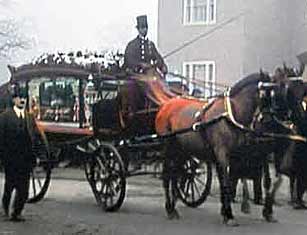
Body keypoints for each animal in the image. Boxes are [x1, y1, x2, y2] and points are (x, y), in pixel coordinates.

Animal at [155, 71, 307, 226]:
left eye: (301, 91)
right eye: (281, 92)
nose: (300, 119)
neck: (232, 115)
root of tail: (166, 105)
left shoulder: (245, 154)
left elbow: (268, 180)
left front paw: (233, 210)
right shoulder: (225, 154)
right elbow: (228, 181)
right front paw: (229, 214)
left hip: (182, 150)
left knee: (177, 174)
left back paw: (175, 203)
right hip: (168, 148)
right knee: (167, 175)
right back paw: (170, 209)